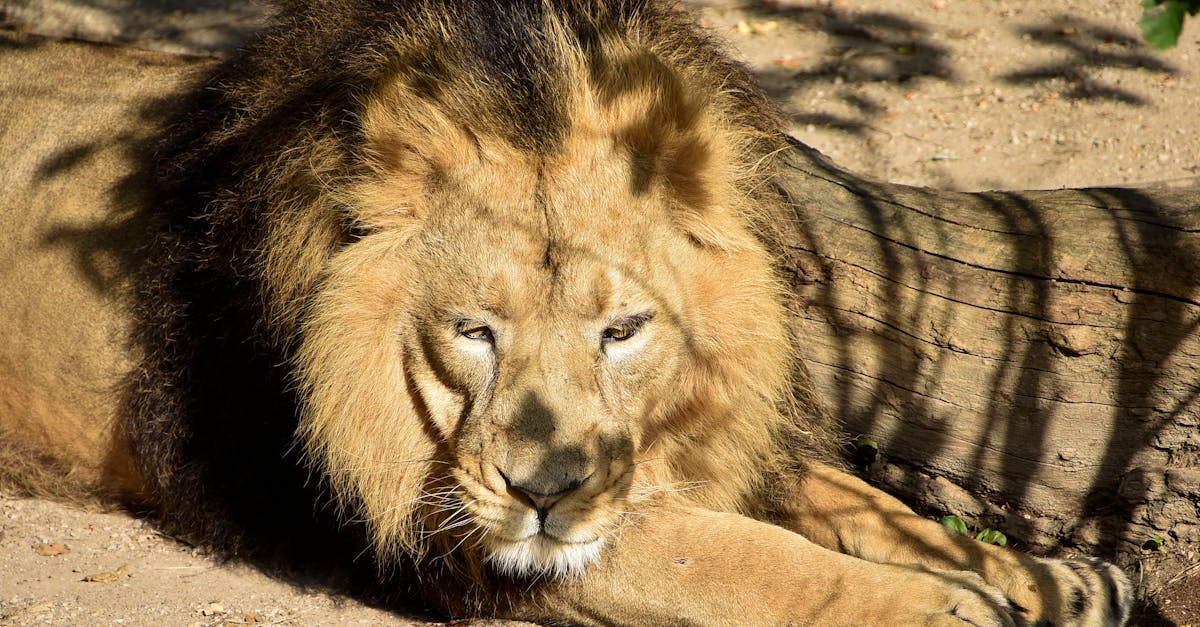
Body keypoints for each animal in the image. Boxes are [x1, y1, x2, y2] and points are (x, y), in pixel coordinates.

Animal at [0, 1, 1133, 624]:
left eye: (622, 331)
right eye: (474, 332)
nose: (544, 491)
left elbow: (857, 500)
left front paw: (1052, 583)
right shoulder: (452, 526)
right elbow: (733, 558)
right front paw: (946, 607)